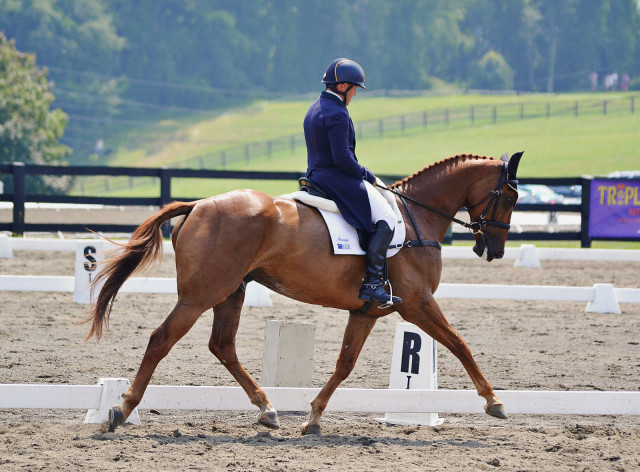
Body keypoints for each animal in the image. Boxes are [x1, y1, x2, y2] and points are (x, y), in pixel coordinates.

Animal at [87, 152, 524, 436]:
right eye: (511, 197)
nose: (494, 250)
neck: (417, 217)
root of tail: (198, 204)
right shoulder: (418, 304)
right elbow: (460, 343)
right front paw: (494, 402)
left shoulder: (366, 312)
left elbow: (345, 364)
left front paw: (312, 417)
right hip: (201, 295)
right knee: (161, 339)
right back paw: (121, 408)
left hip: (231, 292)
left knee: (223, 346)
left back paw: (267, 409)